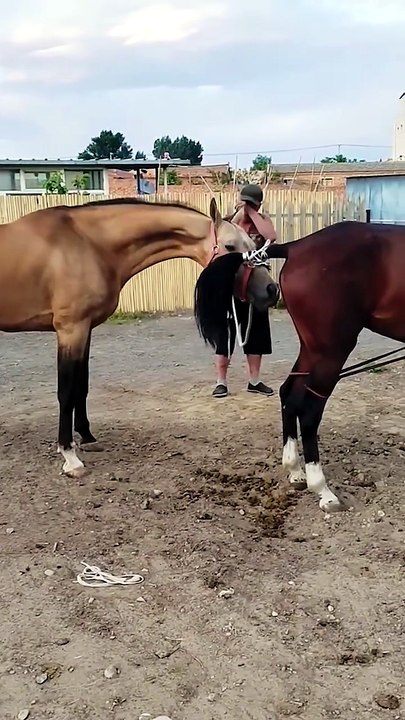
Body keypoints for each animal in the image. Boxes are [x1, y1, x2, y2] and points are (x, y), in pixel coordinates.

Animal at [0, 196, 267, 477]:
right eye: (230, 246)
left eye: (253, 244)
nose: (270, 289)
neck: (87, 244)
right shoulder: (71, 330)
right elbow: (67, 391)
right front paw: (70, 457)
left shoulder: (85, 330)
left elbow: (82, 385)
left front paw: (87, 437)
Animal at [194, 220, 405, 512]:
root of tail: (297, 247)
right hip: (331, 351)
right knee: (309, 412)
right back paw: (322, 488)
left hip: (311, 349)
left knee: (289, 394)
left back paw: (295, 470)